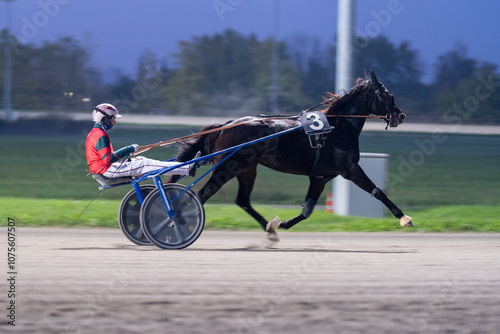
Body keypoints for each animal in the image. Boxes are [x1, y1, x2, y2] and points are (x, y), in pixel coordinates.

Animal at [172, 70, 414, 240]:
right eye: (388, 95)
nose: (401, 115)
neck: (339, 126)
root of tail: (226, 125)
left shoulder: (320, 177)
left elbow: (307, 210)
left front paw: (282, 224)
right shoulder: (350, 169)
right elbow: (377, 190)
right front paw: (404, 218)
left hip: (247, 169)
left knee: (242, 200)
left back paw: (269, 228)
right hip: (227, 167)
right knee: (202, 195)